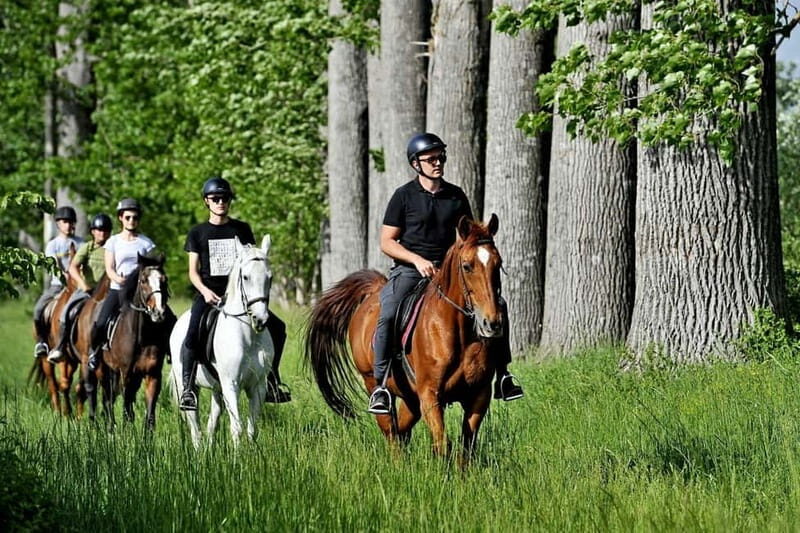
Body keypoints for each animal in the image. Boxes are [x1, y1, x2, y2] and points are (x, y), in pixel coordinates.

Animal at [91, 253, 173, 430]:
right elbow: (127, 409)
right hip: (102, 369)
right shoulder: (126, 373)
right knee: (108, 399)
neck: (142, 336)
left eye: (164, 280)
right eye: (143, 280)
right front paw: (127, 432)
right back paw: (110, 427)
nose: (159, 313)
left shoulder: (153, 375)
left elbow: (149, 414)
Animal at [305, 215, 504, 459]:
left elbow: (466, 448)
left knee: (401, 430)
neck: (459, 334)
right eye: (467, 266)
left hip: (410, 399)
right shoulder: (430, 394)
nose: (491, 323)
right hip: (373, 382)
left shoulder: (479, 394)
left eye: (498, 264)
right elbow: (443, 443)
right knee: (391, 433)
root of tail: (374, 291)